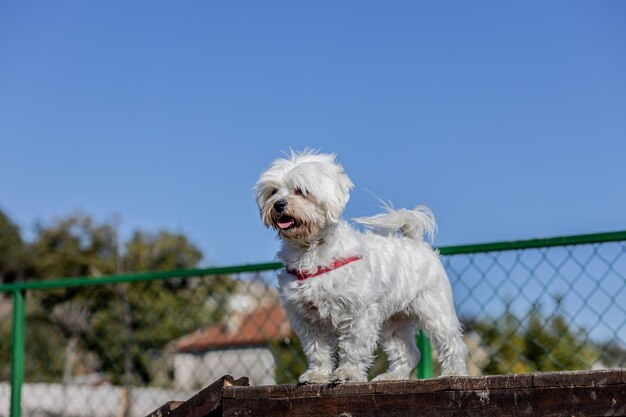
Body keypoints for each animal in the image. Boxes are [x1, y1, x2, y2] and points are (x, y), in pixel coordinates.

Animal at [252, 151, 464, 382]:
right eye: (273, 192)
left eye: (301, 191)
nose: (278, 204)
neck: (312, 250)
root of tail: (416, 241)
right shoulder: (308, 318)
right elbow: (317, 349)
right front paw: (317, 374)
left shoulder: (358, 312)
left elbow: (353, 346)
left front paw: (348, 373)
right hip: (393, 322)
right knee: (408, 352)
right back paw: (391, 376)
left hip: (435, 310)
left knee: (452, 343)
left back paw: (454, 373)